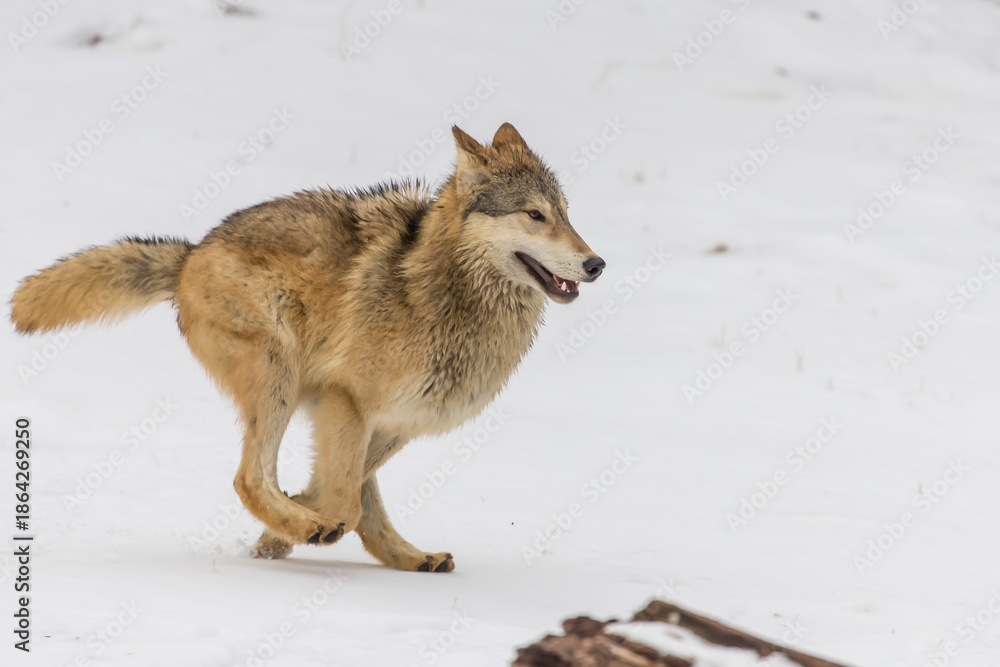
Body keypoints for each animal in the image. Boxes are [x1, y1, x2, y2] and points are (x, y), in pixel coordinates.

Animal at [10, 123, 605, 572]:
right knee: (249, 478)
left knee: (313, 488)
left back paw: (401, 554)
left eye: (567, 214)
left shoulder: (393, 422)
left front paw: (281, 537)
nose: (596, 263)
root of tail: (192, 253)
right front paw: (296, 528)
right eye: (534, 215)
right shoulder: (347, 401)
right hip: (278, 375)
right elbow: (341, 497)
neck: (446, 294)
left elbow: (349, 493)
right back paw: (307, 526)